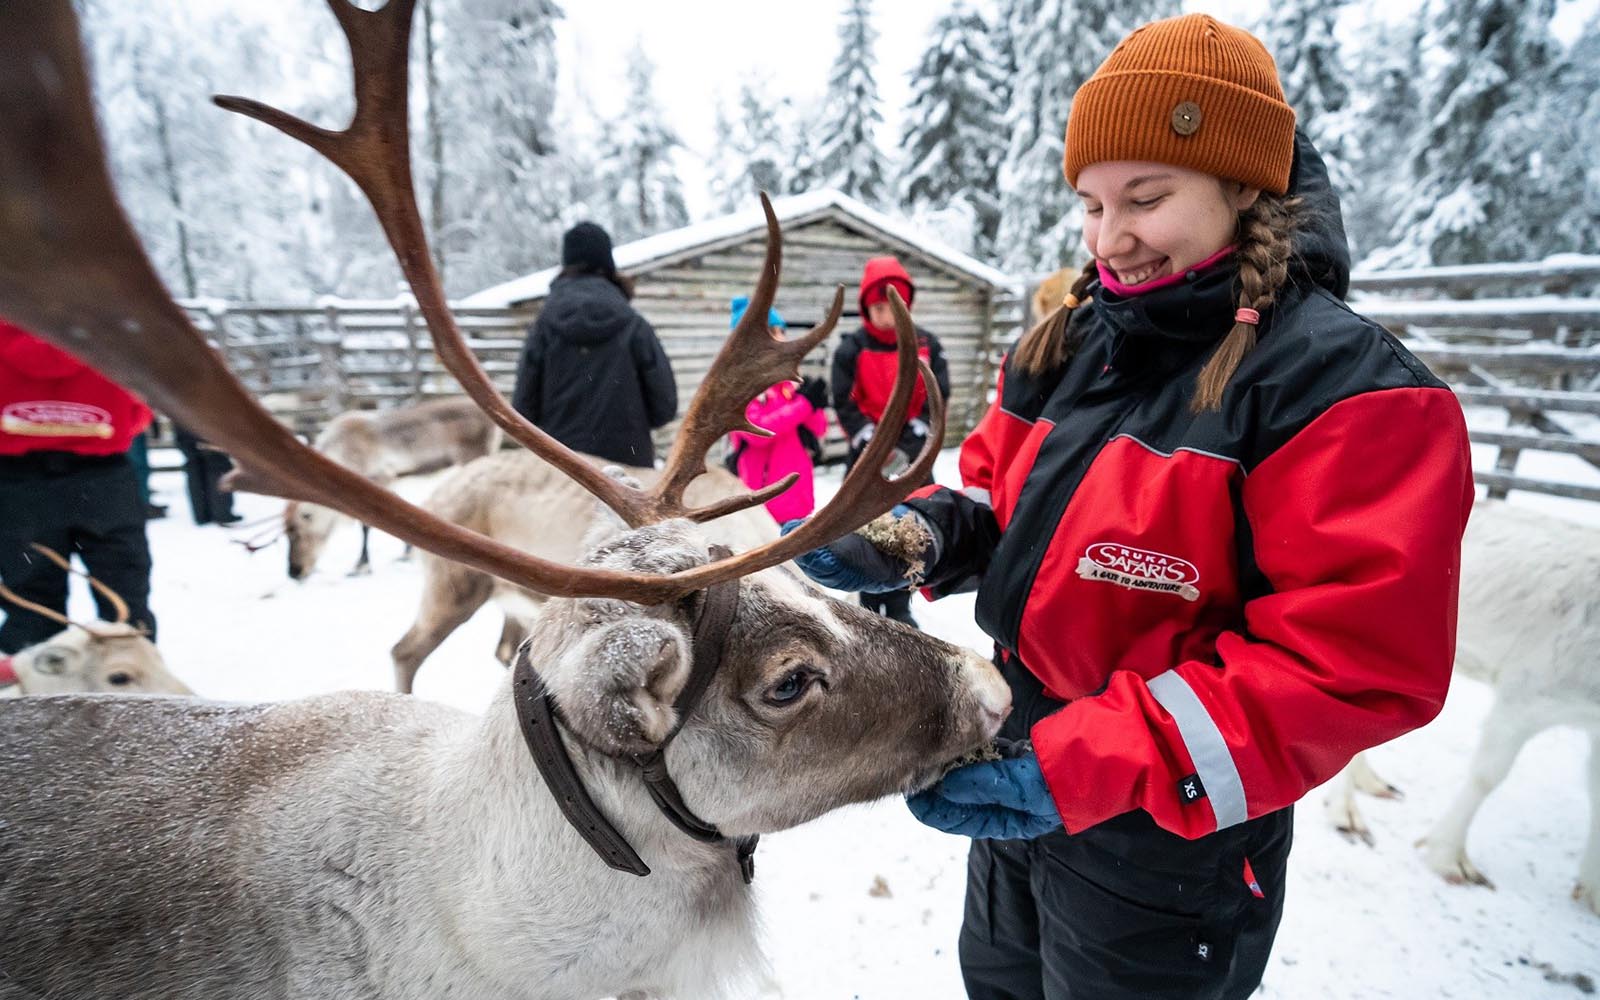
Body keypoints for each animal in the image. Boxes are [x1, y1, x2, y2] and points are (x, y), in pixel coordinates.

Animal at [284, 395, 502, 579]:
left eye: (296, 531)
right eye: (285, 533)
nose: (294, 572)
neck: (343, 455)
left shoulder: (380, 478)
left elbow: (366, 526)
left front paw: (361, 565)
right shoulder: (390, 482)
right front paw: (406, 553)